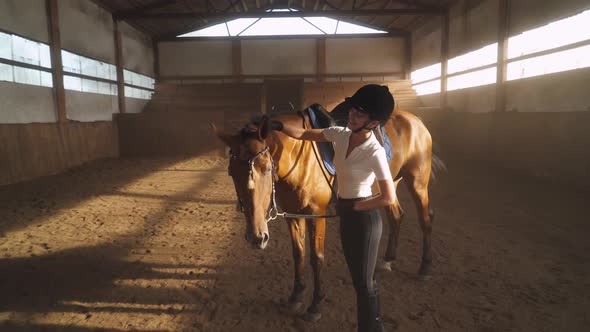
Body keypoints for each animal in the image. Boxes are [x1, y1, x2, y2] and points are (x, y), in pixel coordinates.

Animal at [214, 109, 444, 322]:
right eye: (231, 172)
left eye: (267, 167)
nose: (256, 237)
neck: (299, 157)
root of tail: (415, 120)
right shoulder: (293, 214)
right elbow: (298, 254)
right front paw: (295, 297)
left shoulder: (316, 213)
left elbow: (317, 257)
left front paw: (315, 305)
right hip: (390, 184)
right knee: (396, 216)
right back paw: (388, 260)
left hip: (417, 183)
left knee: (425, 219)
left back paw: (425, 268)